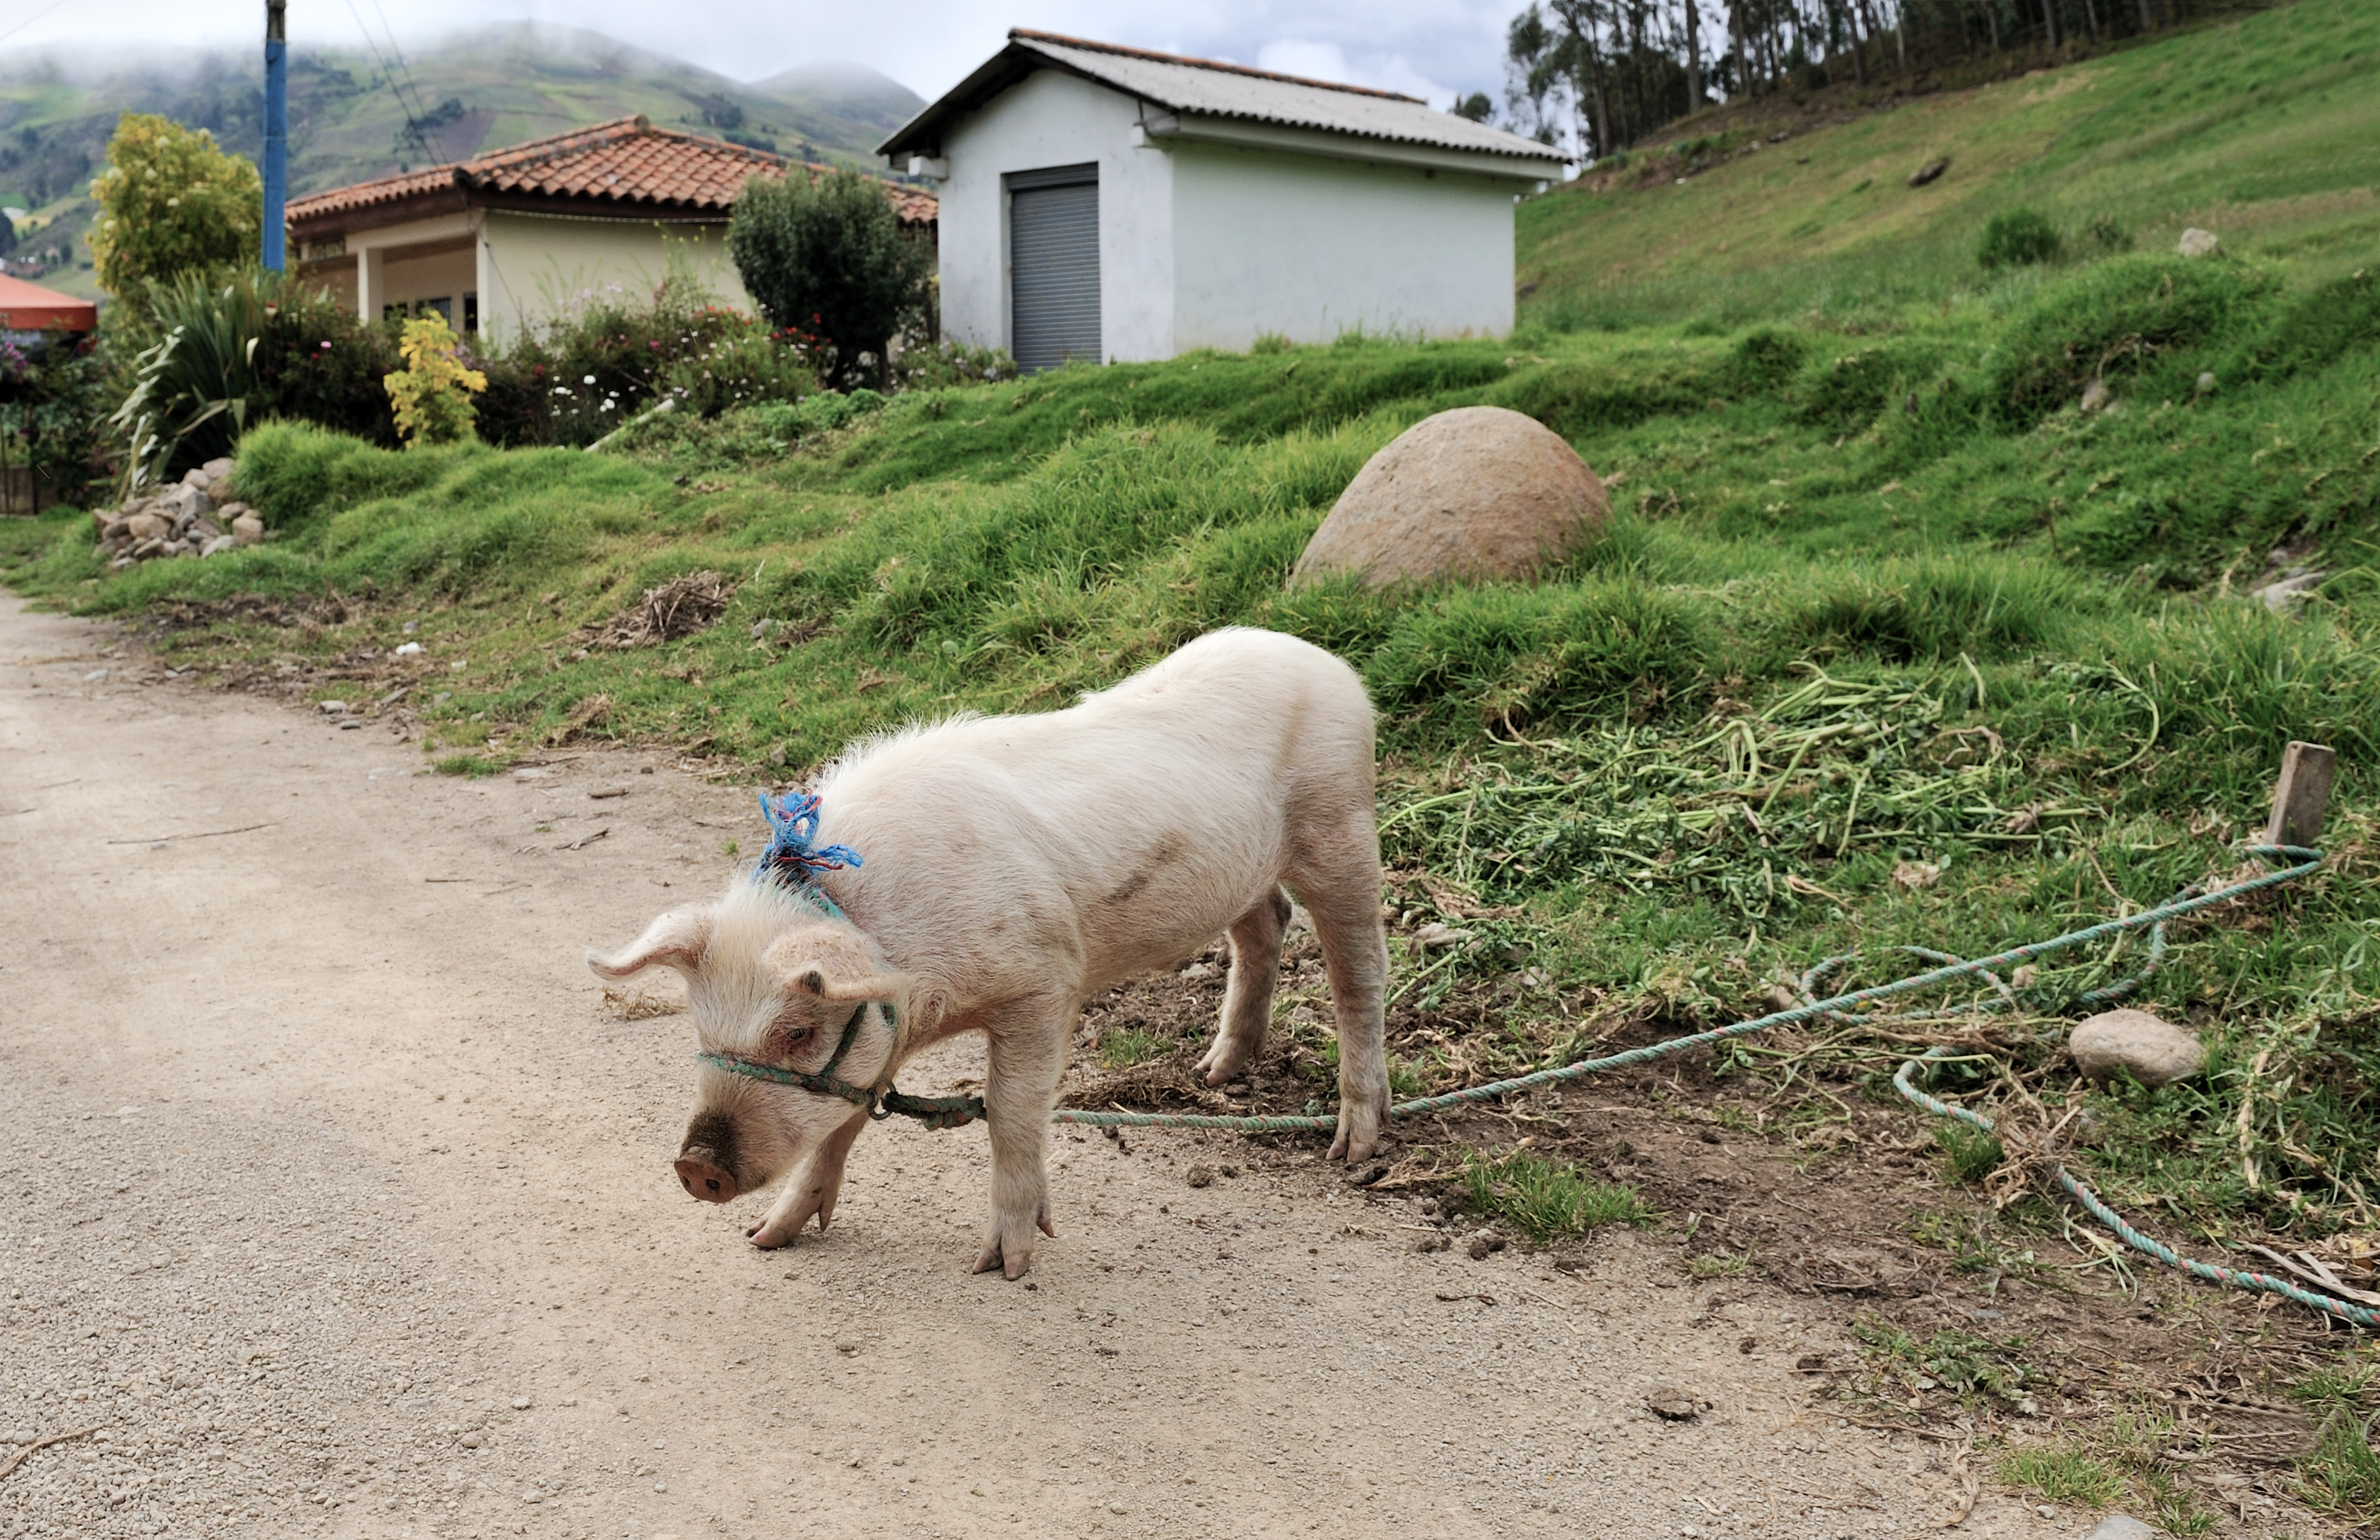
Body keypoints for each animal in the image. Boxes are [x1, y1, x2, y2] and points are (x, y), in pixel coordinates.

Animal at [587, 626, 1389, 1278]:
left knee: (1358, 973)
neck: (909, 967)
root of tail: (1323, 660)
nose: (695, 1168)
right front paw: (765, 1238)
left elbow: (1009, 1111)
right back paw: (1214, 1073)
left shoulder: (1044, 981)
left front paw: (1002, 1265)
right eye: (700, 1030)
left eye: (798, 1032)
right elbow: (842, 1122)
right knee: (1265, 925)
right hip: (1245, 871)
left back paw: (1351, 1148)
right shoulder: (884, 1026)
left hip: (1340, 823)